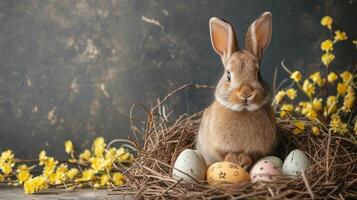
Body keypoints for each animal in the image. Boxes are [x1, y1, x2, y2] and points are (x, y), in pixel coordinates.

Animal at [196, 12, 276, 169]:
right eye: (228, 75)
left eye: (258, 74)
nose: (246, 93)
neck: (243, 111)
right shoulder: (216, 147)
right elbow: (224, 154)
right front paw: (233, 160)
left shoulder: (262, 150)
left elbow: (252, 156)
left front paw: (243, 161)